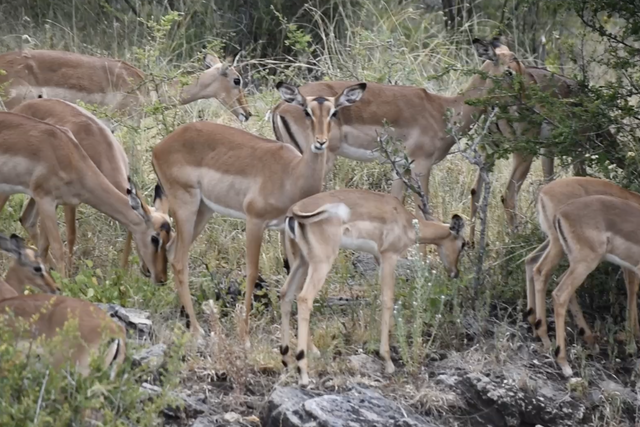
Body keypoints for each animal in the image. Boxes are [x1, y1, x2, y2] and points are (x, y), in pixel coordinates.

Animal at [11, 98, 172, 276]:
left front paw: (121, 276)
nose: (149, 271)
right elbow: (71, 234)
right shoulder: (67, 201)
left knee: (26, 219)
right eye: (154, 238)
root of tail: (24, 105)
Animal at [152, 81, 367, 337]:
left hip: (203, 210)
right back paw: (196, 328)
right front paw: (245, 332)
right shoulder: (255, 221)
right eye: (307, 111)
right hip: (186, 206)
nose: (320, 142)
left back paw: (185, 316)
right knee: (179, 260)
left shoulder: (285, 228)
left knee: (172, 250)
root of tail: (159, 147)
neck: (292, 173)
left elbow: (294, 273)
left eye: (333, 112)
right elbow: (253, 271)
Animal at [280, 189, 466, 385]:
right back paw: (303, 372)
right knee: (304, 298)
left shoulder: (379, 259)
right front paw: (388, 360)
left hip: (301, 261)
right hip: (320, 263)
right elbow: (388, 300)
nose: (455, 273)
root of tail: (294, 211)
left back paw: (286, 359)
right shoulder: (389, 257)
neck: (405, 219)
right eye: (463, 243)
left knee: (285, 294)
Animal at [527, 177, 640, 352]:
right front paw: (631, 341)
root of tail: (543, 192)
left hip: (557, 245)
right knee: (543, 273)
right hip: (565, 250)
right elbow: (632, 290)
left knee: (532, 261)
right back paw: (548, 338)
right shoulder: (630, 265)